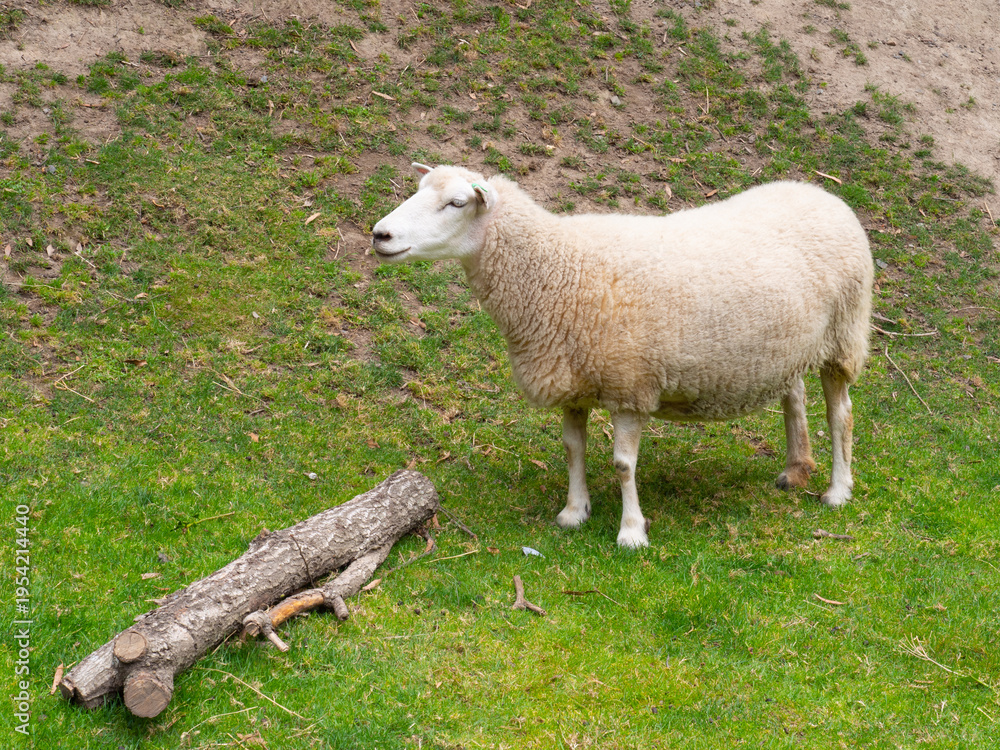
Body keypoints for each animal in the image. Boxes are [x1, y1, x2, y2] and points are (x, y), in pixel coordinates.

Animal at [372, 163, 873, 548]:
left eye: (457, 203)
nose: (380, 234)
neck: (558, 269)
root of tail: (822, 193)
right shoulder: (573, 381)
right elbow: (572, 448)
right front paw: (574, 511)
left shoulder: (629, 385)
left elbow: (623, 465)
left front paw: (631, 532)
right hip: (789, 345)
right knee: (795, 396)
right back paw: (795, 469)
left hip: (844, 333)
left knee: (841, 413)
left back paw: (837, 490)